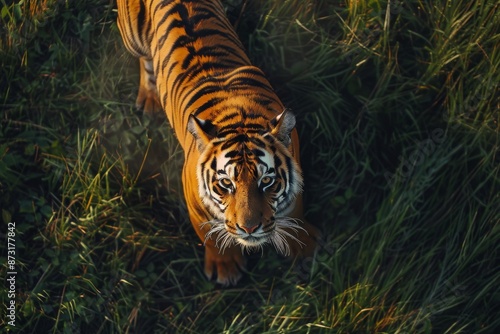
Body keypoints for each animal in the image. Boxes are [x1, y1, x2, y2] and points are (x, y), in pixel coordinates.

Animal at [116, 0, 318, 286]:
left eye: (266, 181)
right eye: (226, 183)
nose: (249, 228)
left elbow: (294, 212)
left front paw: (305, 247)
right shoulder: (195, 203)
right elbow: (210, 236)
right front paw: (226, 269)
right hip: (132, 36)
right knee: (145, 60)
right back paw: (149, 100)